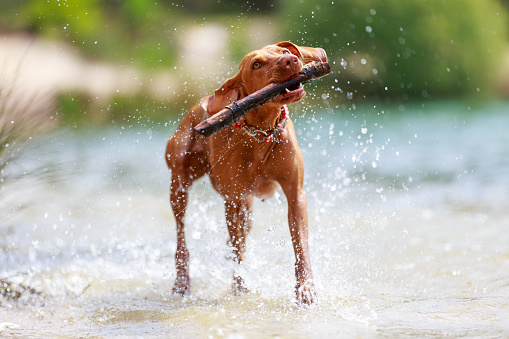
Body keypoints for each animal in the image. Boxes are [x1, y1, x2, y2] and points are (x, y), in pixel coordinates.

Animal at [165, 40, 328, 306]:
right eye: (257, 65)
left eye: (284, 52)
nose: (290, 60)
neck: (261, 131)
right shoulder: (233, 199)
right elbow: (238, 250)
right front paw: (240, 288)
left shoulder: (295, 195)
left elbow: (300, 246)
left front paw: (306, 289)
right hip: (180, 183)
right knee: (182, 235)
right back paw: (182, 281)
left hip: (248, 207)